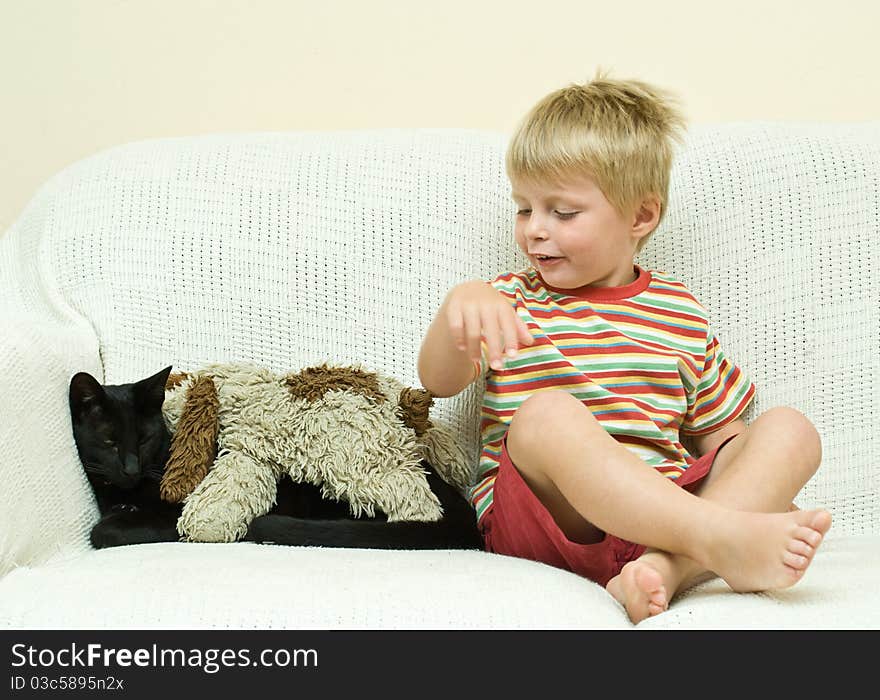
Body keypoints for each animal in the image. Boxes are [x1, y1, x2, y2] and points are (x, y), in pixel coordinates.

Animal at [69, 366, 482, 552]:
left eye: (143, 439)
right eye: (109, 441)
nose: (130, 469)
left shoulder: (174, 516)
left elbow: (103, 530)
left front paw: (113, 523)